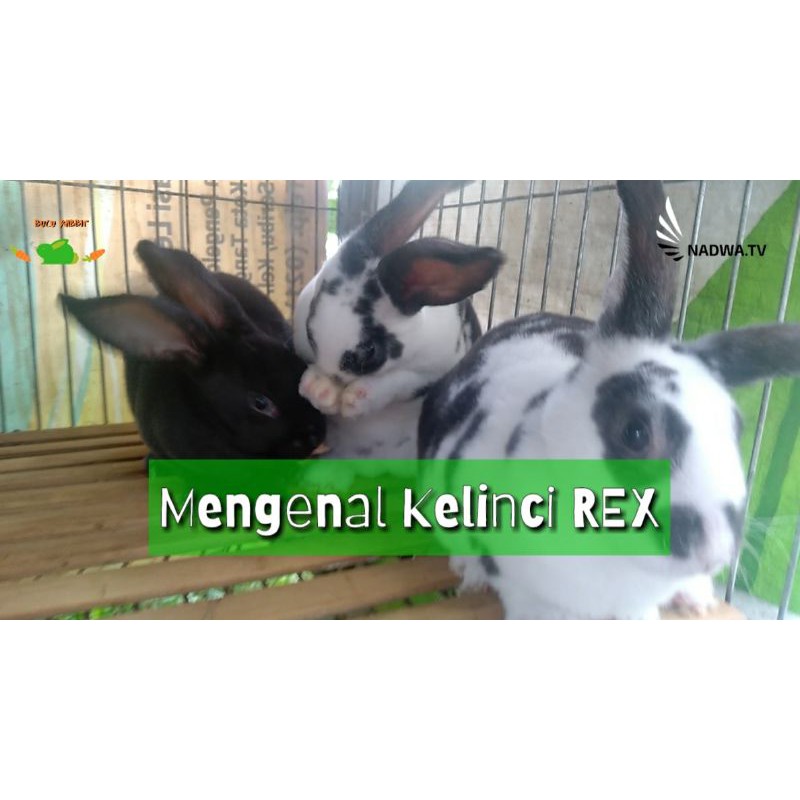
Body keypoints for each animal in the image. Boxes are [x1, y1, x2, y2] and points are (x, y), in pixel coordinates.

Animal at [293, 180, 505, 459]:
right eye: (309, 331)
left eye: (370, 351)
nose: (334, 378)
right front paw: (319, 390)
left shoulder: (432, 373)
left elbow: (400, 382)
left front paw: (356, 398)